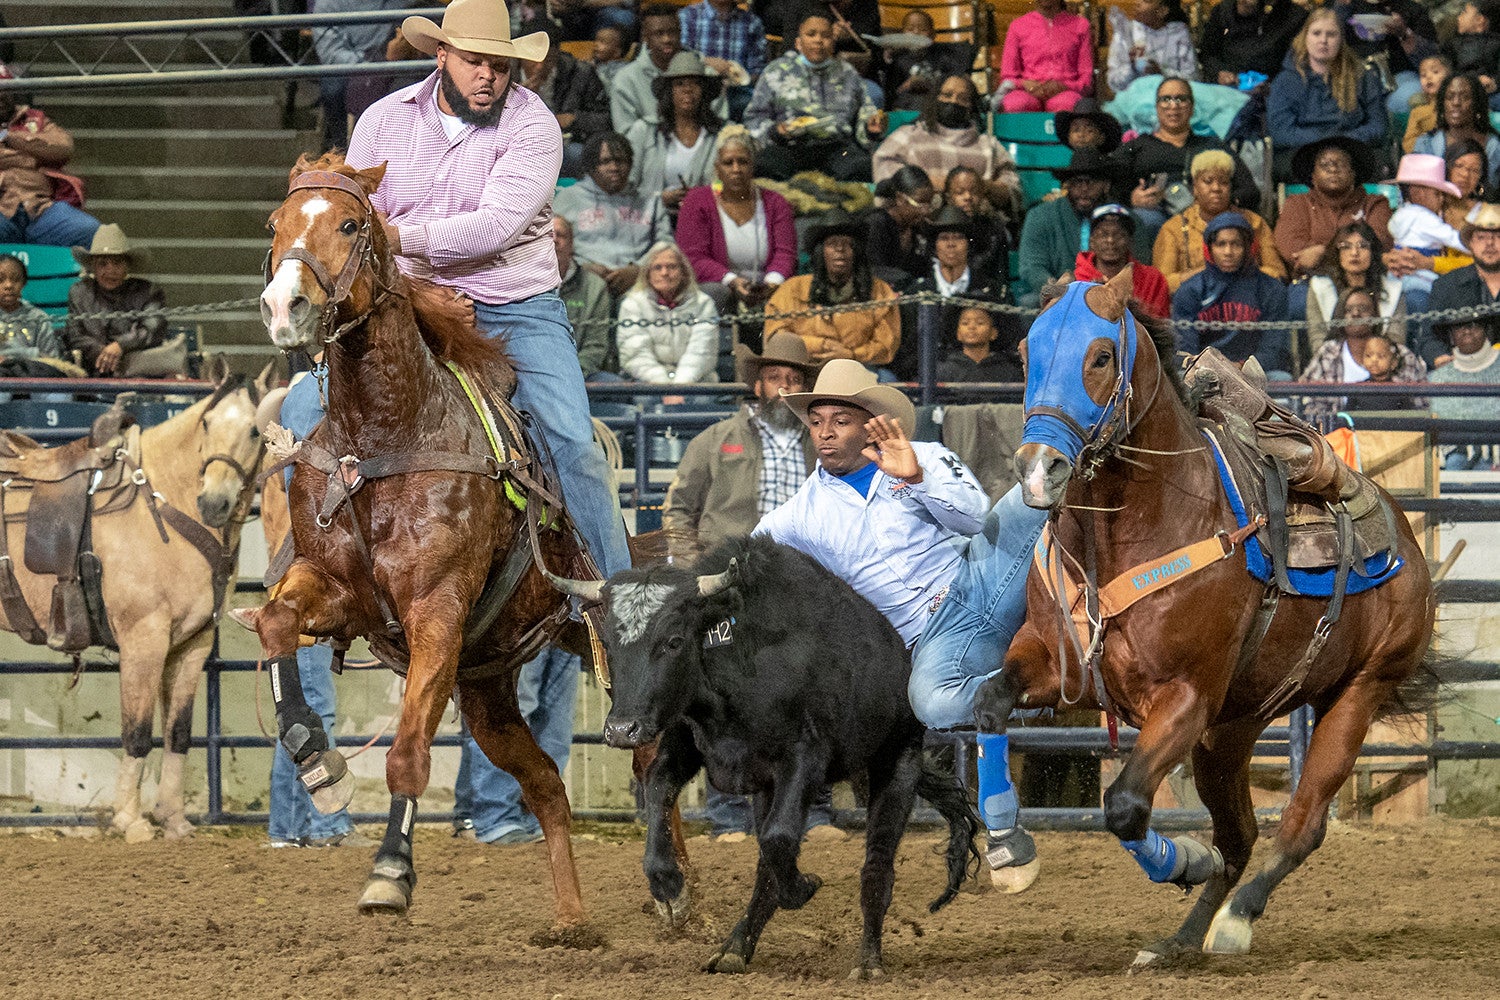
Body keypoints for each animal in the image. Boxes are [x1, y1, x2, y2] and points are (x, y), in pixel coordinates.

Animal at [2, 359, 270, 845]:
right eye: (206, 422)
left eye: (255, 430)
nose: (214, 502)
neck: (164, 504)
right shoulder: (143, 641)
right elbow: (138, 732)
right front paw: (131, 821)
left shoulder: (191, 646)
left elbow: (178, 732)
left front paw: (173, 819)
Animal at [231, 152, 606, 941]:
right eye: (276, 223)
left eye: (351, 224)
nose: (284, 307)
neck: (387, 433)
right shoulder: (337, 590)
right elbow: (278, 622)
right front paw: (316, 757)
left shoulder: (437, 611)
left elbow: (406, 756)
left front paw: (391, 873)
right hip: (488, 691)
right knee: (548, 786)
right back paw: (571, 918)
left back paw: (679, 894)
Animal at [978, 269, 1434, 965]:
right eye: (1027, 355)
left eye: (1100, 357)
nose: (1039, 469)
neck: (1141, 526)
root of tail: (1401, 532)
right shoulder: (1053, 664)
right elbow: (988, 705)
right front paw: (1009, 850)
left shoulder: (1186, 698)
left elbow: (1125, 805)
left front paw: (1184, 860)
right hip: (1233, 729)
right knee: (1240, 834)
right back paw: (1180, 939)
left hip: (1358, 693)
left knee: (1300, 825)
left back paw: (1235, 919)